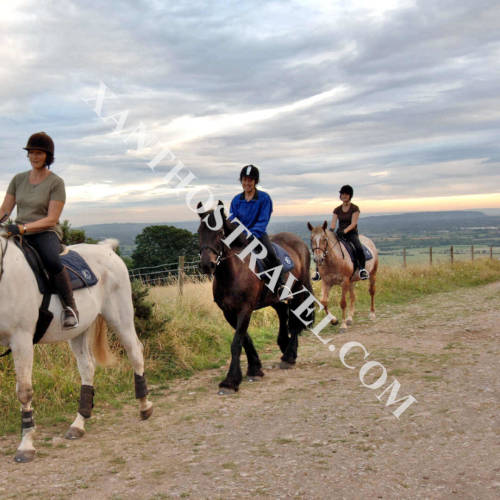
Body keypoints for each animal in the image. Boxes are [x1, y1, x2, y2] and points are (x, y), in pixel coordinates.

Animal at [0, 234, 153, 460]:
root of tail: (105, 248)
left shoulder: (21, 339)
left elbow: (24, 391)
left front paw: (26, 445)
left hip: (120, 317)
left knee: (135, 352)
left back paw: (144, 406)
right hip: (79, 331)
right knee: (87, 367)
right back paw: (79, 424)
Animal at [198, 201, 312, 392]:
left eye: (220, 233)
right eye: (199, 232)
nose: (208, 265)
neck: (234, 272)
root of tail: (301, 243)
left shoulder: (245, 309)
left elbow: (237, 343)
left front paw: (230, 381)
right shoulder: (228, 312)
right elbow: (245, 340)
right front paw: (254, 368)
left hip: (299, 291)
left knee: (296, 322)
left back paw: (289, 356)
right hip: (275, 298)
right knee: (283, 313)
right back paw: (284, 345)